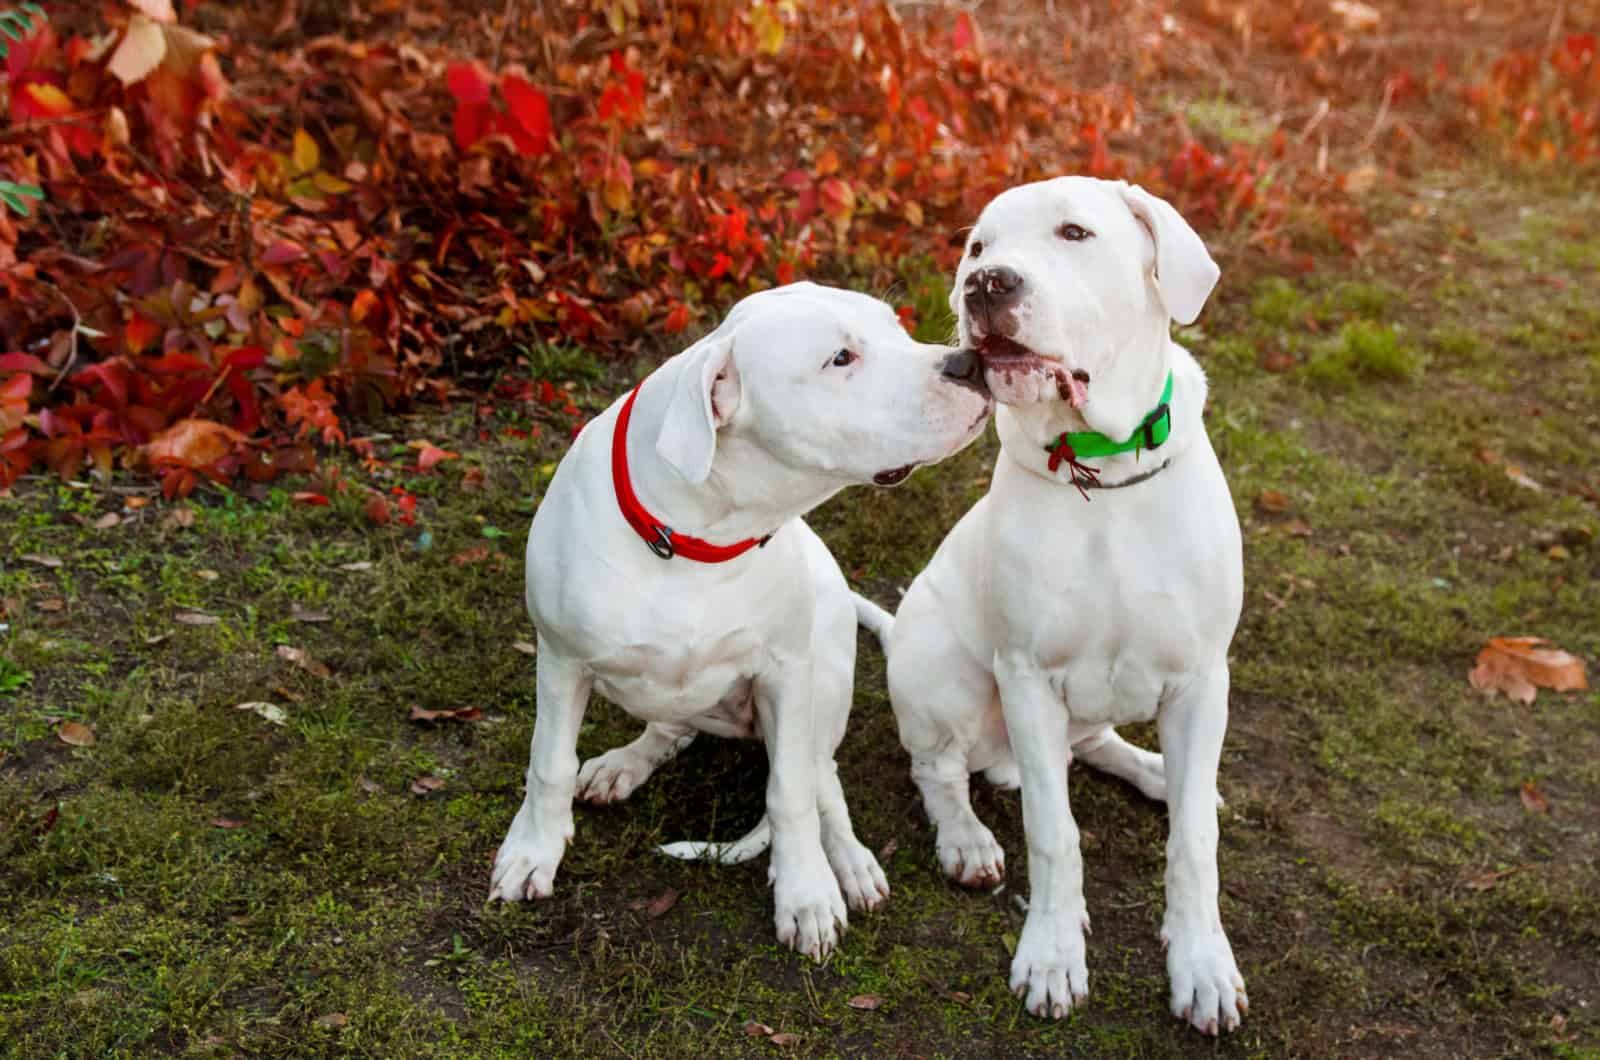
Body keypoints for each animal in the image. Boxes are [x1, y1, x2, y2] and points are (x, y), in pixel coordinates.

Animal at [486, 281, 985, 960]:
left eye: (897, 327)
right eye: (840, 359)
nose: (973, 363)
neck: (696, 540)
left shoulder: (787, 673)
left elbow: (791, 794)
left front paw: (806, 894)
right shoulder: (560, 660)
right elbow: (549, 764)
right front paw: (532, 851)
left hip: (824, 685)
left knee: (821, 779)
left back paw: (849, 862)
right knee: (670, 730)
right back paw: (625, 763)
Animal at [864, 180, 1248, 1037]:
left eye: (1074, 233)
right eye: (977, 248)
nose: (986, 284)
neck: (1102, 471)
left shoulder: (1203, 678)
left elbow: (1194, 844)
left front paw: (1202, 962)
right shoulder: (1028, 678)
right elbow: (1053, 831)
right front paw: (1051, 954)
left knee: (1104, 744)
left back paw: (1162, 772)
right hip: (942, 673)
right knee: (938, 770)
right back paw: (967, 839)